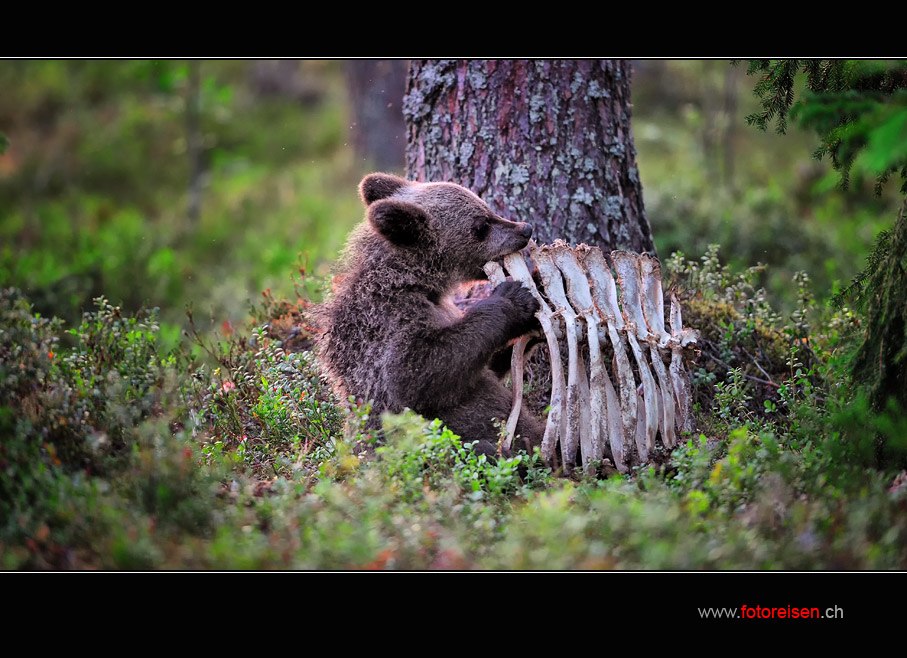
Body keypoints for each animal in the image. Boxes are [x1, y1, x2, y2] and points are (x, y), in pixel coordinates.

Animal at [318, 172, 548, 458]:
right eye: (481, 225)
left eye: (487, 208)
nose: (525, 229)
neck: (419, 283)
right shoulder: (388, 322)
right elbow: (418, 373)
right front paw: (513, 297)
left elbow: (485, 364)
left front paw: (539, 289)